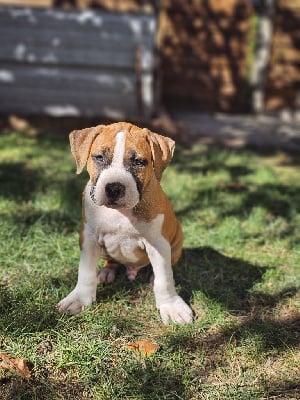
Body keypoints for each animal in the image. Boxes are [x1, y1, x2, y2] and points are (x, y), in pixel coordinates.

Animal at [58, 122, 193, 324]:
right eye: (99, 157)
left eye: (138, 162)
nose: (114, 188)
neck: (121, 213)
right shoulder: (88, 238)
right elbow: (85, 271)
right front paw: (79, 298)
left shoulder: (158, 244)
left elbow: (164, 277)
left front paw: (171, 306)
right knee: (111, 262)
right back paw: (106, 272)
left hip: (177, 242)